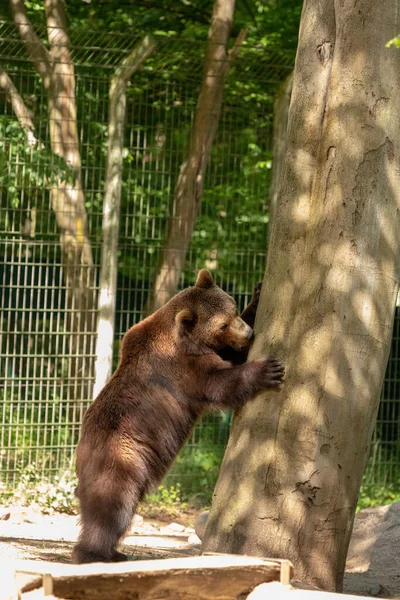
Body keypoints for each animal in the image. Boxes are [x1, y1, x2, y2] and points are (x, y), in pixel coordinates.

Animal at [72, 270, 284, 564]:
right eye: (222, 324)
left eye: (232, 310)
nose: (249, 334)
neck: (182, 337)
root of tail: (80, 451)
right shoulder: (181, 367)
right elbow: (219, 382)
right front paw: (268, 369)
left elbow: (230, 354)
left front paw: (258, 292)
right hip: (122, 459)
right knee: (112, 508)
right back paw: (95, 554)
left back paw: (114, 552)